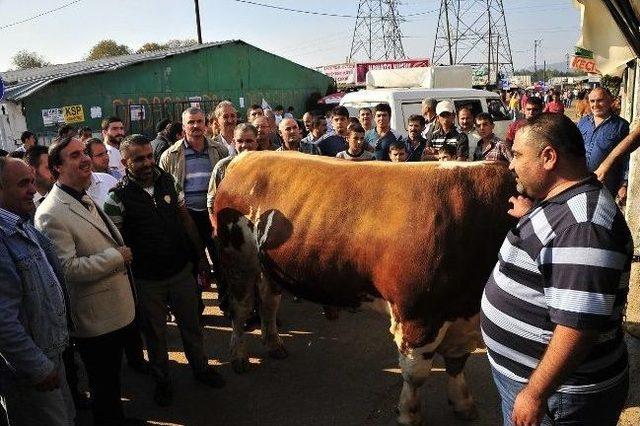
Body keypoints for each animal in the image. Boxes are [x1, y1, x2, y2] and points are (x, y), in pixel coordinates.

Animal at [214, 151, 516, 424]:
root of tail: (246, 155)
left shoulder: (460, 316)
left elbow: (456, 362)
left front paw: (463, 404)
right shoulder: (417, 317)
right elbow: (415, 374)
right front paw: (408, 414)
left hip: (270, 266)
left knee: (268, 300)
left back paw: (274, 343)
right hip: (238, 257)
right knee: (241, 307)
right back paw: (238, 356)